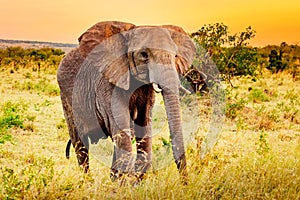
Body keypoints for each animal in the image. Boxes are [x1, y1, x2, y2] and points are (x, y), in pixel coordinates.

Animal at [57, 21, 196, 182]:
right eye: (143, 54)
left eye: (175, 55)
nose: (185, 182)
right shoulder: (108, 83)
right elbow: (122, 131)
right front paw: (126, 184)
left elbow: (143, 125)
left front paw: (129, 182)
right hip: (67, 99)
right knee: (80, 144)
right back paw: (87, 182)